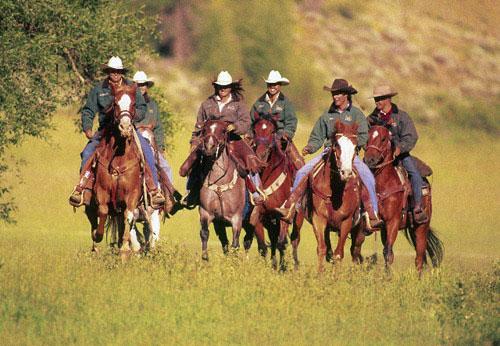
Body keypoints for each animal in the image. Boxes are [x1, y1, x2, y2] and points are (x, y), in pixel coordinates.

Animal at [83, 82, 146, 258]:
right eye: (116, 103)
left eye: (133, 104)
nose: (125, 127)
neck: (119, 158)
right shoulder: (102, 191)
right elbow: (103, 211)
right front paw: (97, 235)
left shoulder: (132, 194)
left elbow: (128, 216)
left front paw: (125, 249)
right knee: (93, 216)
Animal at [198, 119, 247, 260]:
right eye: (204, 129)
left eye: (224, 131)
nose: (209, 147)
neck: (219, 183)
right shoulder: (206, 213)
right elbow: (204, 233)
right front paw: (205, 258)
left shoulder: (237, 218)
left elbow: (235, 243)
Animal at [252, 116, 302, 270]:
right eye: (254, 130)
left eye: (272, 131)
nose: (261, 154)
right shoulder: (260, 217)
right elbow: (263, 247)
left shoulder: (283, 216)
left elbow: (282, 243)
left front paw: (282, 268)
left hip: (298, 218)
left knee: (294, 241)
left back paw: (295, 266)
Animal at [302, 120, 366, 272]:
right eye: (336, 144)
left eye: (355, 147)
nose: (346, 172)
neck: (336, 191)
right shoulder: (319, 219)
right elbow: (322, 249)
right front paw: (320, 274)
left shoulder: (346, 222)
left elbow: (339, 254)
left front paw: (335, 276)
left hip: (359, 229)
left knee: (355, 250)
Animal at [362, 124, 444, 274]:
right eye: (367, 137)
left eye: (383, 139)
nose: (369, 160)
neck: (383, 184)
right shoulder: (382, 224)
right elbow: (387, 252)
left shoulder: (393, 221)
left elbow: (388, 252)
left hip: (422, 226)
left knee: (419, 257)